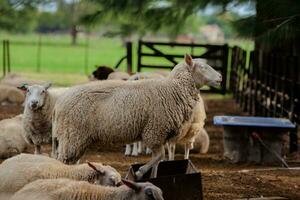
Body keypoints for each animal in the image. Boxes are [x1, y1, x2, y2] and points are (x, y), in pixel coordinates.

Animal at [51, 54, 220, 180]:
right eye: (203, 67)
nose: (220, 77)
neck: (174, 89)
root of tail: (58, 103)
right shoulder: (154, 131)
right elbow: (159, 156)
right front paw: (140, 172)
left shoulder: (161, 135)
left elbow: (158, 160)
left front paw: (153, 177)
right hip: (72, 135)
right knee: (63, 162)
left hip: (76, 138)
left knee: (70, 162)